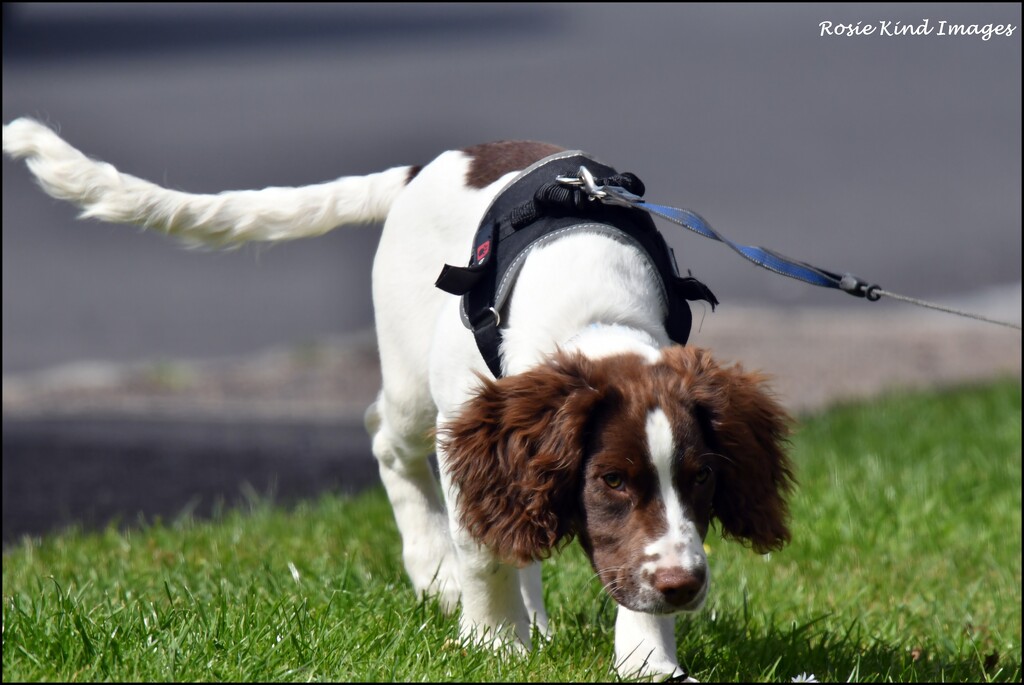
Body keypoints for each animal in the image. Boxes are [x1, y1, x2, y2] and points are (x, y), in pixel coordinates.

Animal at [2, 120, 790, 679]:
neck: (593, 315)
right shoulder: (469, 425)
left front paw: (649, 658)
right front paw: (491, 642)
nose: (685, 586)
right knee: (387, 436)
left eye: (703, 479)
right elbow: (482, 547)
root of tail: (425, 168)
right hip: (414, 384)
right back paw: (434, 569)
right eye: (612, 481)